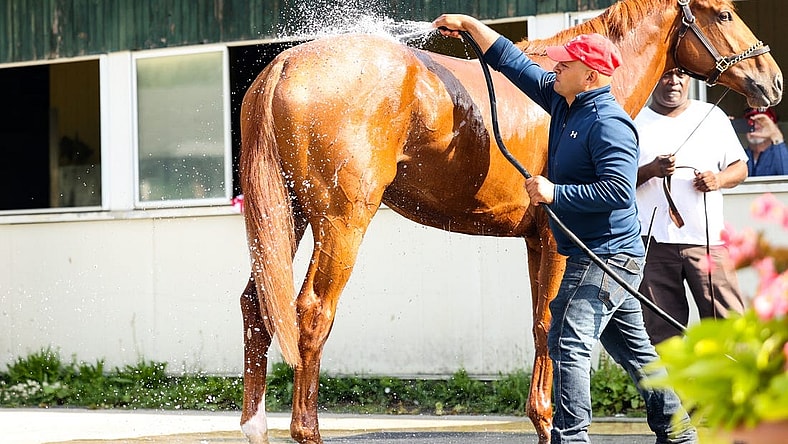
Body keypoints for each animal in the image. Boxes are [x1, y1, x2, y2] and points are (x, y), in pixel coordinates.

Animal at [237, 0, 782, 443]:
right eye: (725, 14)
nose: (772, 80)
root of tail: (283, 64)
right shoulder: (557, 240)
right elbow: (548, 323)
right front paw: (549, 422)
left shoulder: (535, 241)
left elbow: (546, 323)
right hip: (341, 222)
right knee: (312, 312)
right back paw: (306, 430)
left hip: (290, 217)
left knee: (256, 308)